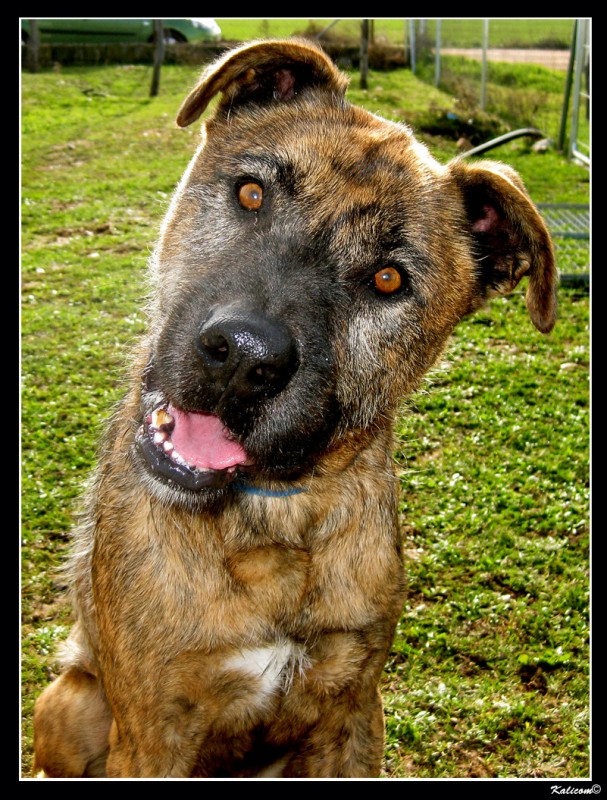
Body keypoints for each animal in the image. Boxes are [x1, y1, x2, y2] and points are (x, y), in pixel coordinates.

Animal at [30, 40, 560, 780]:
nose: (241, 358)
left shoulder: (353, 707)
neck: (271, 524)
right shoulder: (152, 729)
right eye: (251, 193)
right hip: (70, 702)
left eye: (389, 279)